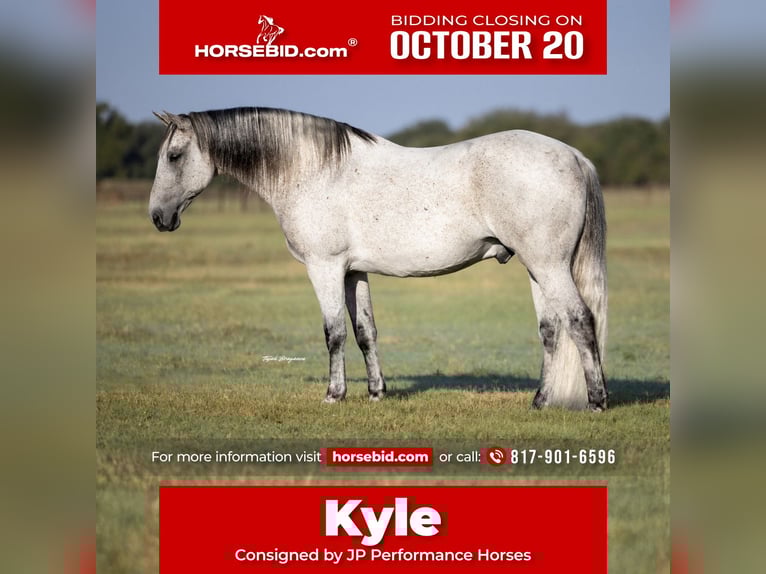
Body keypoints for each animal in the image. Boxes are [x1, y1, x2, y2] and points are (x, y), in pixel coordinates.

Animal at [149, 107, 608, 411]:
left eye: (174, 156)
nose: (158, 217)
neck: (314, 171)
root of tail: (574, 156)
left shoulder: (325, 267)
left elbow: (334, 332)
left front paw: (334, 395)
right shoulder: (354, 272)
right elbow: (364, 331)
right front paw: (375, 393)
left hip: (548, 266)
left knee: (581, 321)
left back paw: (597, 400)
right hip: (537, 268)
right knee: (551, 330)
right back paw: (539, 400)